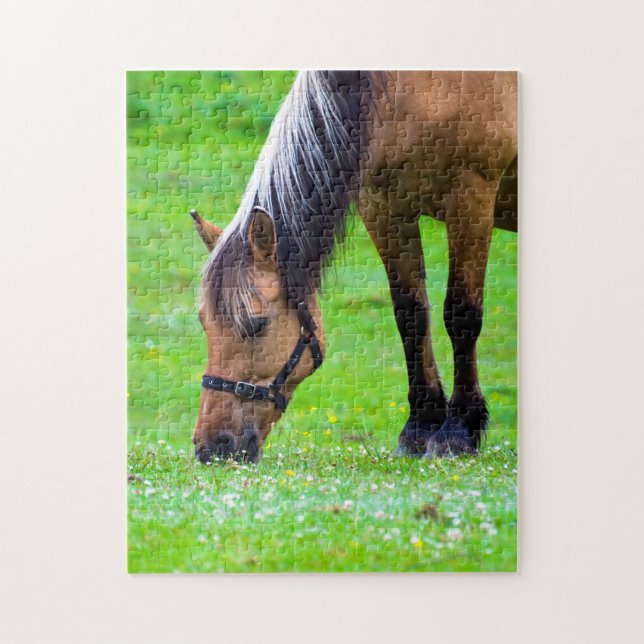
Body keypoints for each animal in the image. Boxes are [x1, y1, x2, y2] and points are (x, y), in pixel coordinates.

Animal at [189, 70, 517, 463]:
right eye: (203, 322)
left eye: (257, 324)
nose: (211, 447)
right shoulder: (383, 205)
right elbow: (410, 316)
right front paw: (419, 428)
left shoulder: (472, 198)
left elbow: (461, 316)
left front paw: (458, 431)